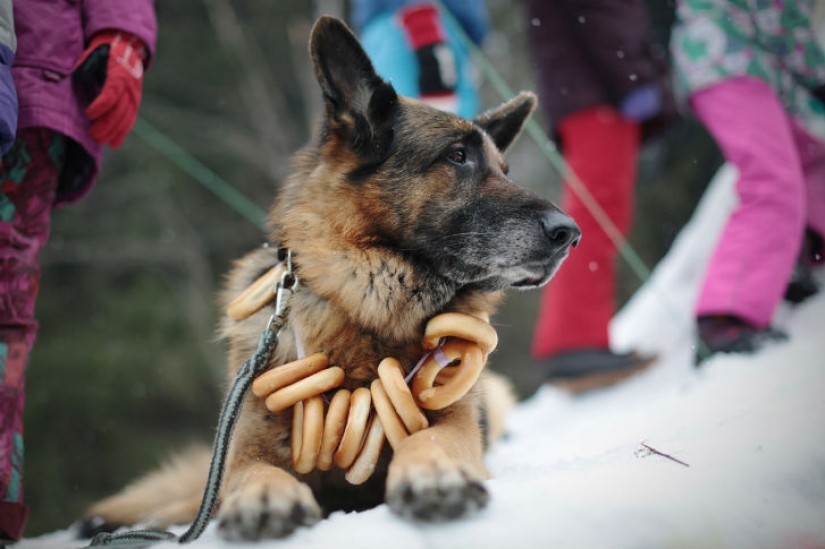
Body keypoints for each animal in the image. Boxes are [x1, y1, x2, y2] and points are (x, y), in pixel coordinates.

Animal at [80, 16, 576, 540]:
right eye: (457, 155)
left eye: (504, 168)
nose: (571, 233)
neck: (366, 303)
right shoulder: (243, 450)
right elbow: (250, 473)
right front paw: (263, 496)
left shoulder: (457, 422)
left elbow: (431, 439)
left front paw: (434, 473)